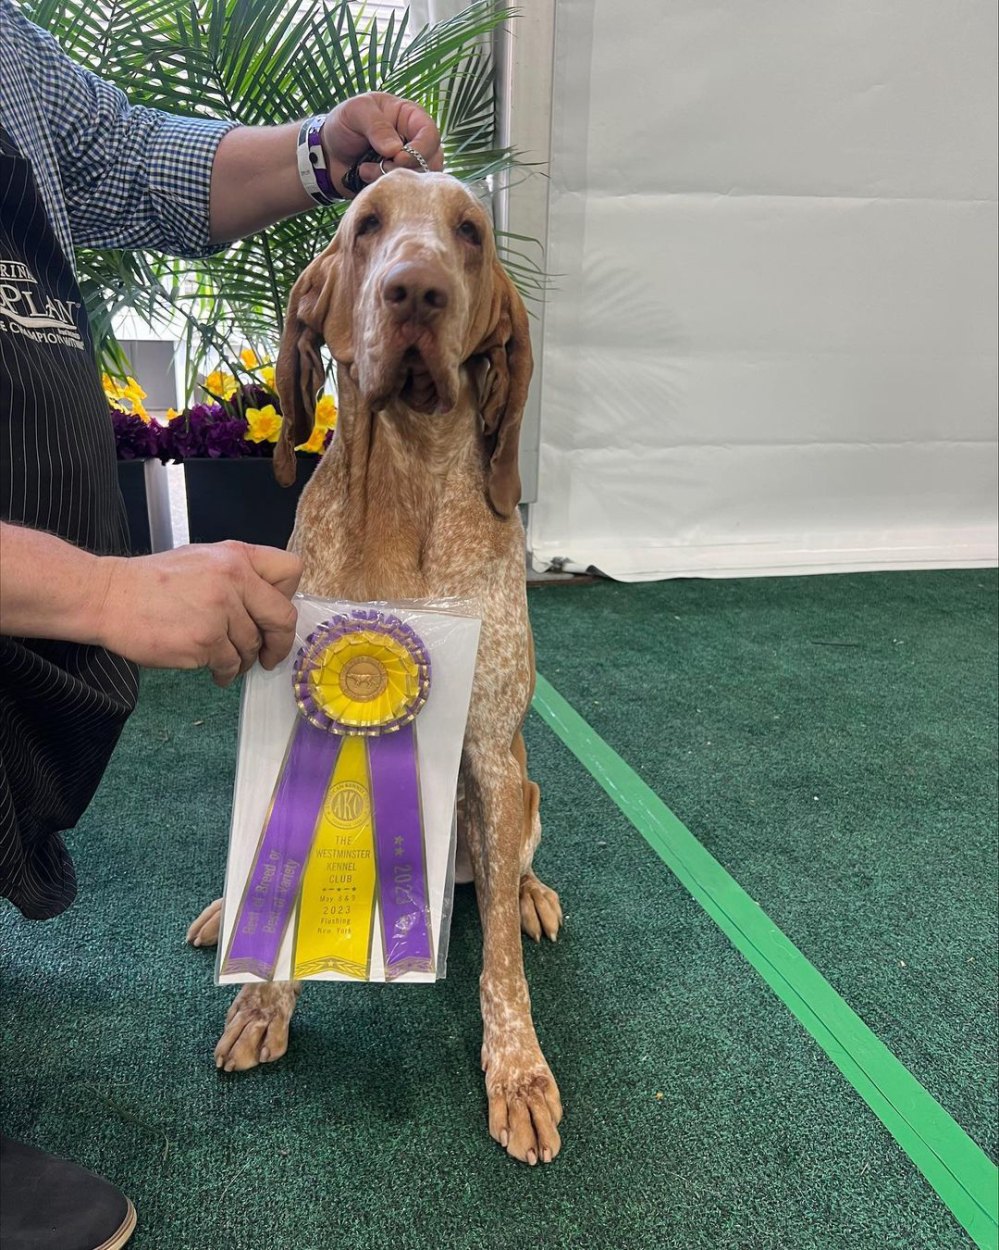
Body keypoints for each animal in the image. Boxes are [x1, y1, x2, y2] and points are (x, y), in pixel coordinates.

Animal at [187, 171, 562, 1165]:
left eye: (469, 232)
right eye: (366, 225)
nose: (416, 292)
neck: (402, 487)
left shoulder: (490, 753)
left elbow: (500, 970)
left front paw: (517, 1069)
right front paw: (265, 996)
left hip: (521, 795)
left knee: (509, 873)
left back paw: (529, 896)